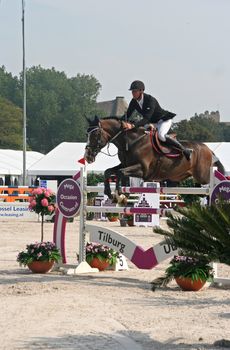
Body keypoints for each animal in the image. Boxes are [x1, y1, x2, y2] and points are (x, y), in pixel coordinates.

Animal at [84, 116, 225, 198]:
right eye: (87, 134)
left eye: (95, 134)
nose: (87, 157)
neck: (131, 141)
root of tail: (208, 149)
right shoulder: (125, 164)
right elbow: (109, 171)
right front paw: (109, 192)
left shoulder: (143, 170)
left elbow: (120, 172)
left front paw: (119, 193)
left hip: (203, 175)